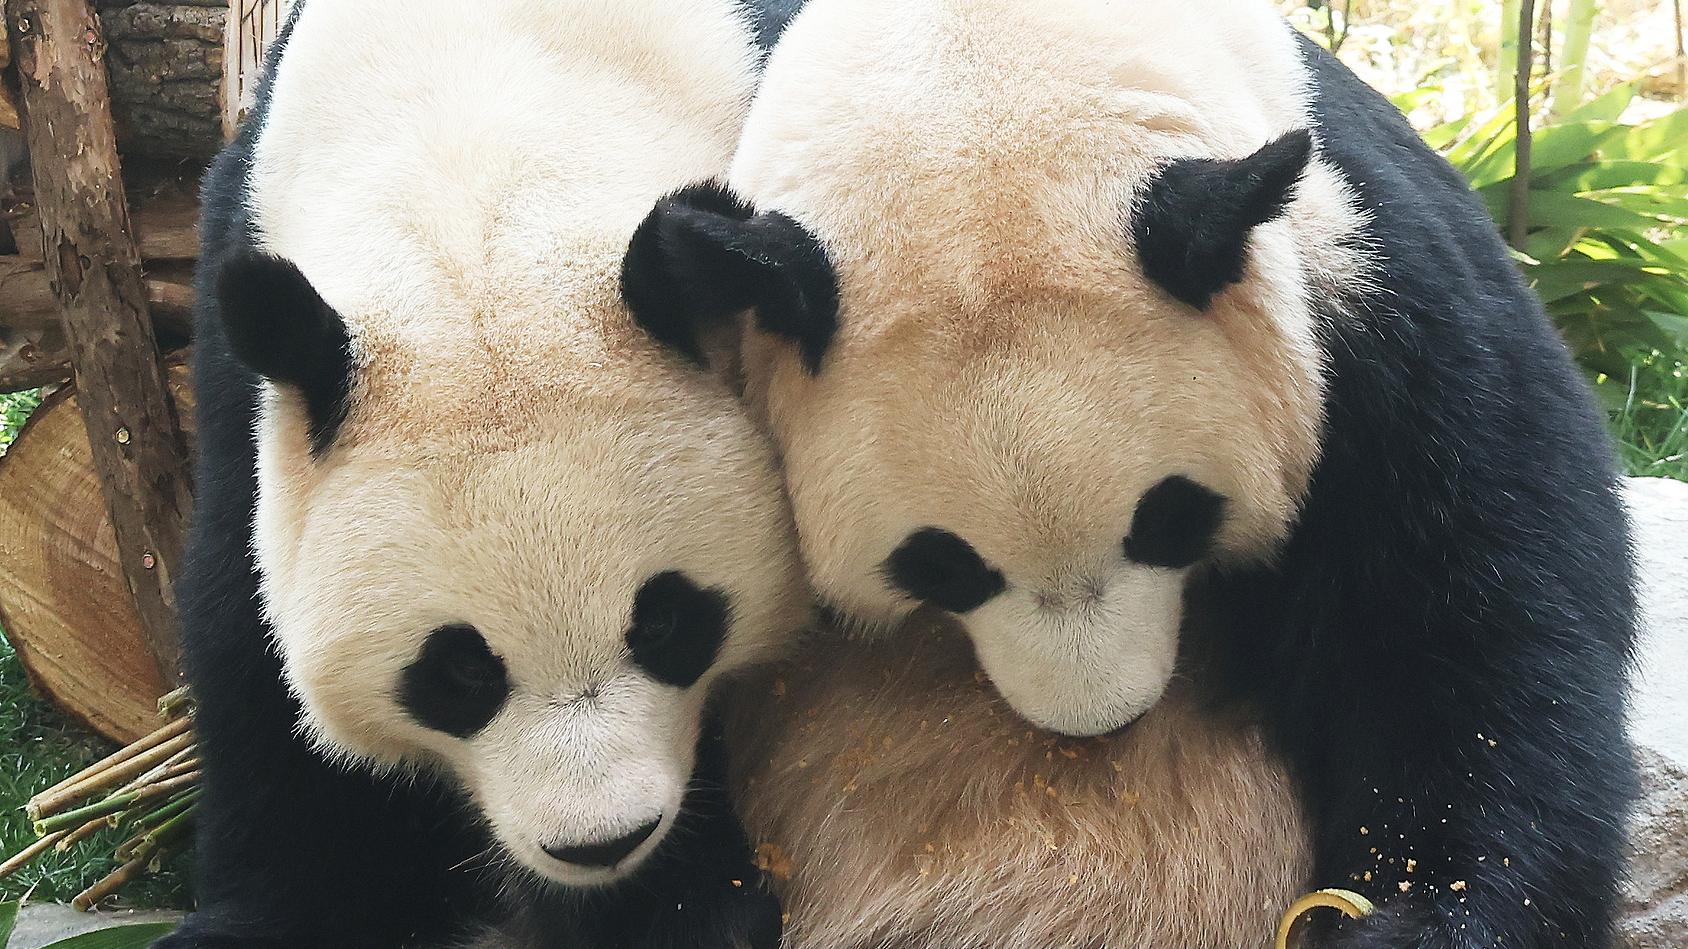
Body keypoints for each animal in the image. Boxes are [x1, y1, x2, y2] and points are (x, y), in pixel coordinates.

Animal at [160, 2, 813, 948]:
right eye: (461, 670)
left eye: (665, 620)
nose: (601, 841)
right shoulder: (246, 348)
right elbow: (247, 639)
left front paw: (675, 905)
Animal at [620, 1, 1639, 948]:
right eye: (942, 564)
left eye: (1171, 517)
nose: (1098, 721)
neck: (984, 48)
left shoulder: (1360, 271)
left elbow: (1466, 624)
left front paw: (1419, 916)